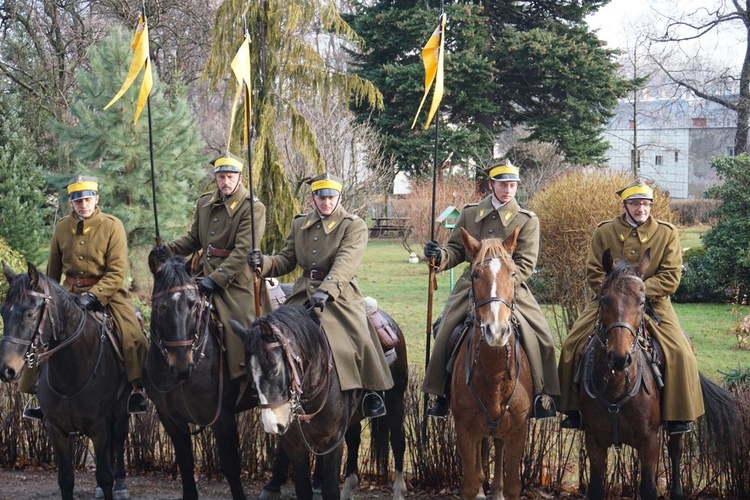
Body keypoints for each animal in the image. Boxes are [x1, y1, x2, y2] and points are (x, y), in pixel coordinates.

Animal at [0, 262, 130, 500]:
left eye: (30, 313)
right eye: (3, 312)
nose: (6, 369)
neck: (71, 370)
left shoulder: (100, 428)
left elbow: (105, 477)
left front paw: (112, 484)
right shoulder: (56, 430)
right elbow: (66, 479)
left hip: (120, 412)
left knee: (118, 439)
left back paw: (121, 484)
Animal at [145, 256, 260, 500]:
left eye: (195, 305)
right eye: (161, 307)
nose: (181, 364)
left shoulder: (223, 418)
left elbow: (231, 466)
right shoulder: (171, 419)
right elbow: (185, 463)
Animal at [452, 227, 536, 500]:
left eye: (513, 273)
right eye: (475, 274)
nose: (496, 331)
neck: (494, 377)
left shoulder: (518, 432)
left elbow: (512, 487)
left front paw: (500, 489)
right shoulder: (464, 430)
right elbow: (469, 484)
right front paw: (478, 487)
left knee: (497, 448)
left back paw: (495, 488)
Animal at [580, 248, 744, 498]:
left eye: (642, 302)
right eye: (604, 298)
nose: (619, 357)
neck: (617, 387)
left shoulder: (649, 443)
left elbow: (649, 488)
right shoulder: (594, 442)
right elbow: (596, 489)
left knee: (675, 450)